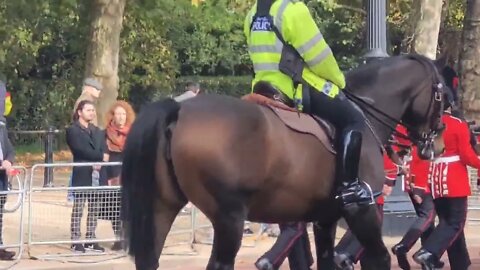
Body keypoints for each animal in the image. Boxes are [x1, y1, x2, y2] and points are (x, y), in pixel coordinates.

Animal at [120, 53, 446, 268]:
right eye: (441, 95)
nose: (436, 144)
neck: (365, 116)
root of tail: (179, 110)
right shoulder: (361, 210)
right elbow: (378, 256)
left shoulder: (325, 218)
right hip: (229, 219)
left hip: (162, 207)